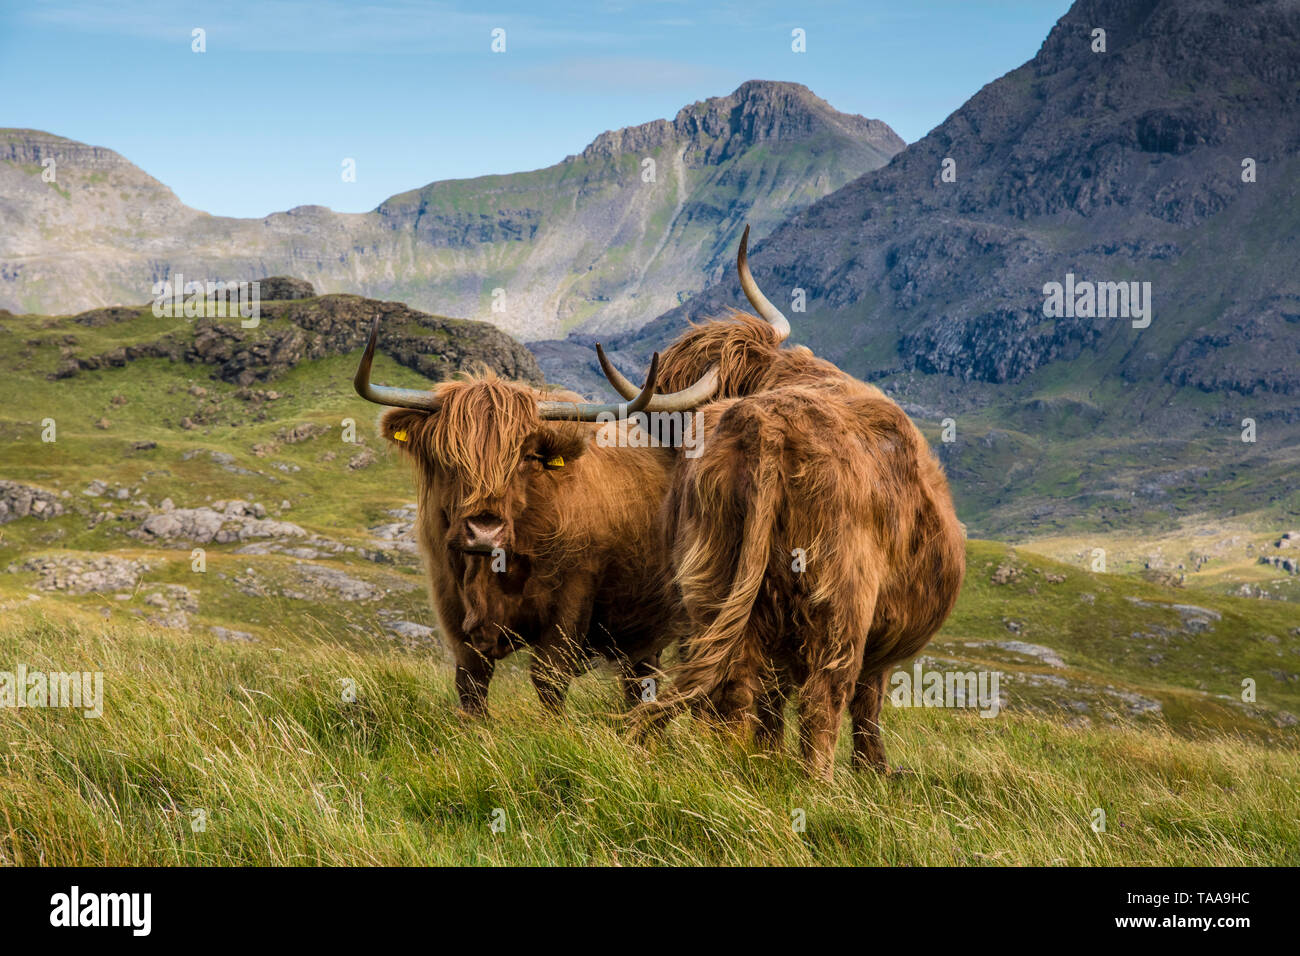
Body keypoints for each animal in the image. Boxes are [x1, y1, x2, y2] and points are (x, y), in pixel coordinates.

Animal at [351, 317, 686, 712]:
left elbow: (548, 680)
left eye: (525, 457)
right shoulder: (452, 607)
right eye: (447, 456)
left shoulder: (569, 604)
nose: (484, 531)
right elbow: (471, 685)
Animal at [608, 226, 967, 780]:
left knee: (737, 685)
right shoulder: (877, 637)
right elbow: (867, 702)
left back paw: (735, 763)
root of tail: (767, 426)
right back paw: (818, 784)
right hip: (839, 601)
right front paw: (873, 771)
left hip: (713, 583)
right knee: (825, 695)